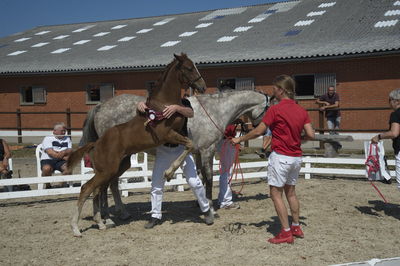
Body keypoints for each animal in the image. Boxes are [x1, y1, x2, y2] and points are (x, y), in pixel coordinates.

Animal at [79, 90, 268, 225]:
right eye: (269, 108)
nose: (265, 131)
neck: (215, 110)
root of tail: (101, 106)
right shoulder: (207, 150)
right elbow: (208, 178)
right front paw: (211, 208)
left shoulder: (198, 153)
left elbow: (199, 177)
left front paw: (200, 204)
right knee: (104, 185)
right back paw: (106, 217)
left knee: (110, 184)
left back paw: (119, 213)